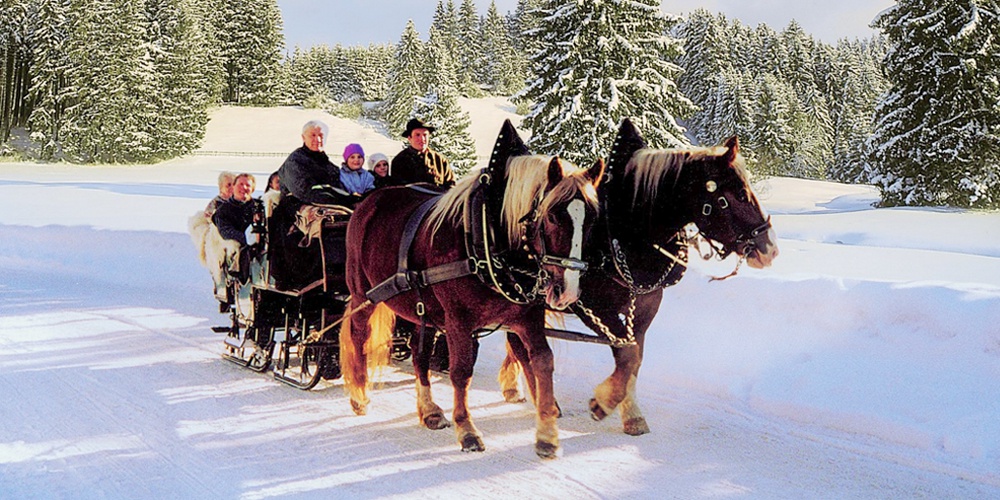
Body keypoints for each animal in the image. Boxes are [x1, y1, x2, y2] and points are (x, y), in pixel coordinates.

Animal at [340, 154, 600, 458]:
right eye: (553, 215)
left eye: (592, 220)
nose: (566, 291)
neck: (487, 238)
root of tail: (367, 202)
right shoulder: (458, 321)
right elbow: (461, 372)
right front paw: (467, 430)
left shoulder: (527, 319)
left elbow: (542, 361)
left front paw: (547, 430)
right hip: (362, 294)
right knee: (359, 337)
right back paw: (359, 393)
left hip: (423, 308)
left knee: (420, 354)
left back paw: (429, 410)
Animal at [500, 123, 780, 436]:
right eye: (739, 195)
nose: (770, 248)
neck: (624, 233)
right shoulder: (594, 308)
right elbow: (626, 353)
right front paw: (605, 403)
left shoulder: (646, 308)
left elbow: (634, 357)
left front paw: (628, 411)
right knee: (518, 343)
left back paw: (515, 387)